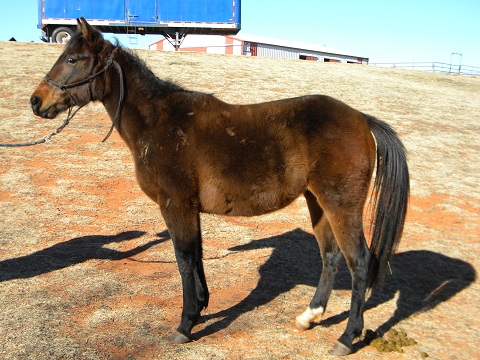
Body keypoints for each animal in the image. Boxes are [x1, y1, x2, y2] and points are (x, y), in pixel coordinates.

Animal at [30, 18, 406, 356]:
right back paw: (309, 317)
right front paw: (199, 308)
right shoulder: (188, 208)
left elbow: (183, 258)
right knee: (330, 256)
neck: (160, 123)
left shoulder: (175, 204)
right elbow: (195, 255)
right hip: (318, 202)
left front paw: (185, 325)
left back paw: (347, 337)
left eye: (72, 59)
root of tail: (361, 120)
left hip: (341, 205)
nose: (36, 101)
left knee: (359, 261)